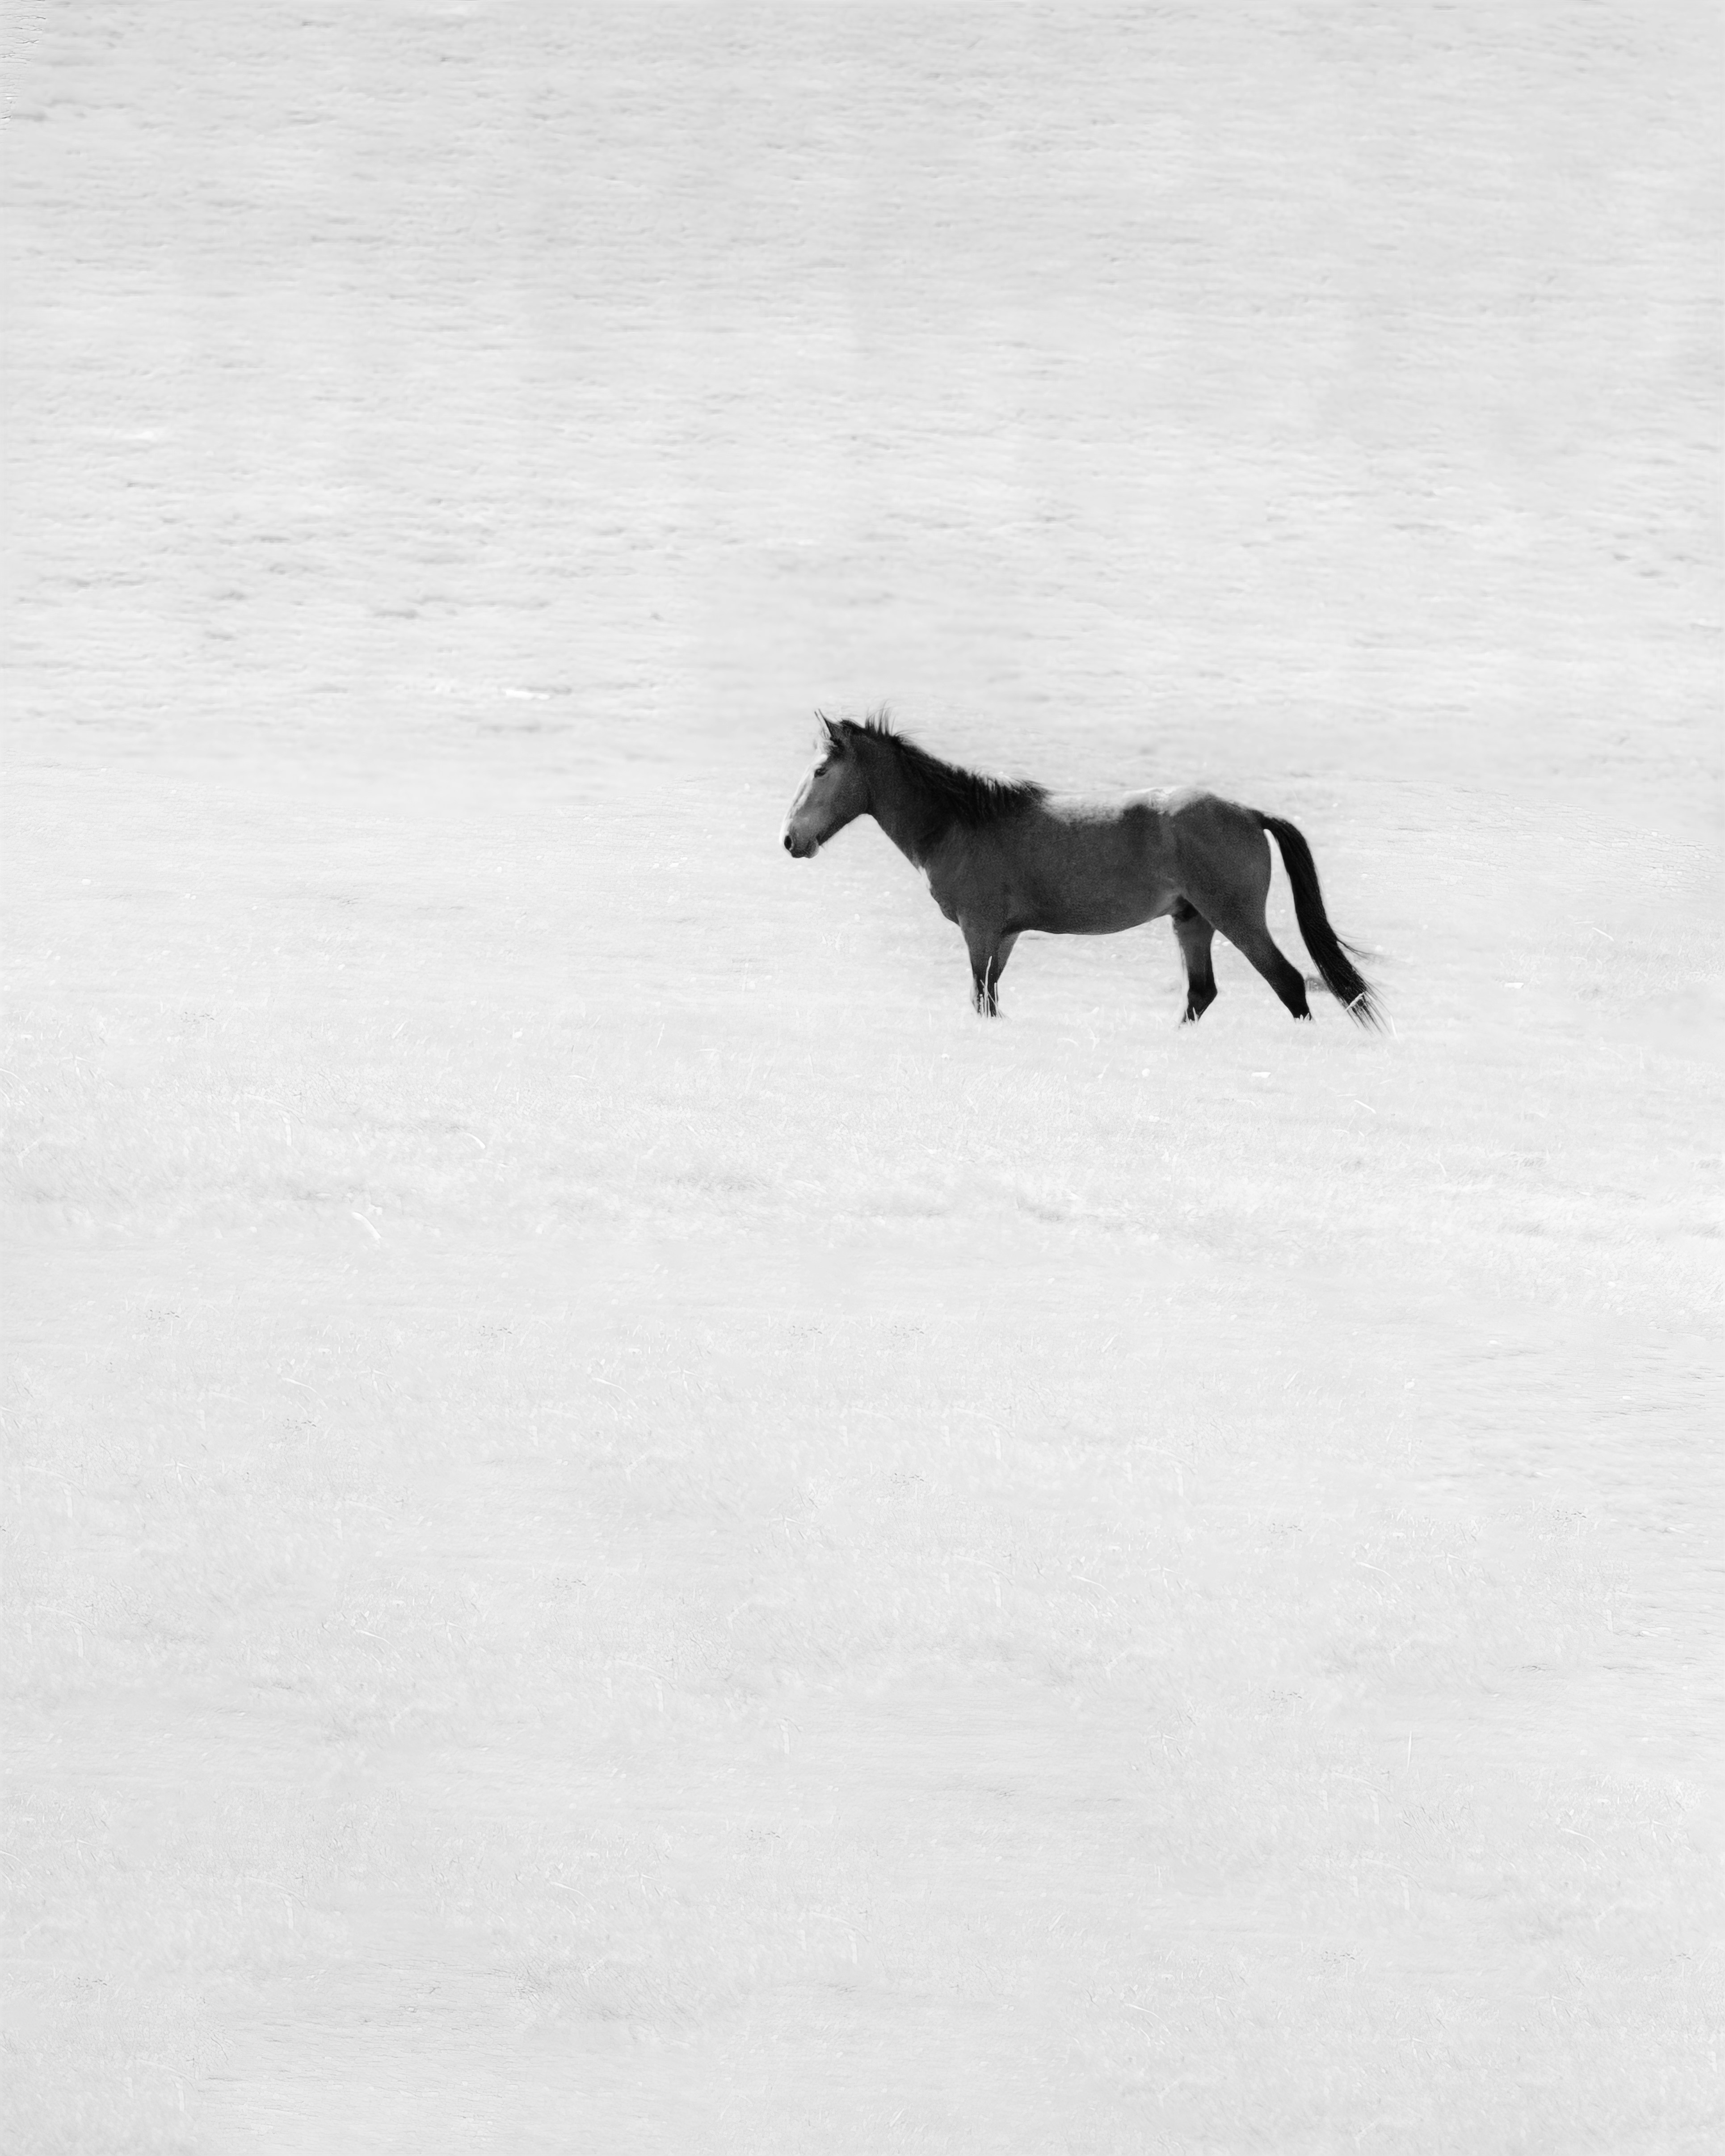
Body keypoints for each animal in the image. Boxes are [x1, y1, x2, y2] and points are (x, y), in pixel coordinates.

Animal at [781, 710, 1379, 1026]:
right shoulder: (1005, 936)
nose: (790, 839)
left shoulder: (979, 931)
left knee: (1286, 983)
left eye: (820, 770)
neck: (959, 823)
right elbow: (990, 998)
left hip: (1234, 918)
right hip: (1191, 921)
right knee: (1201, 993)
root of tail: (1249, 813)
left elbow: (980, 999)